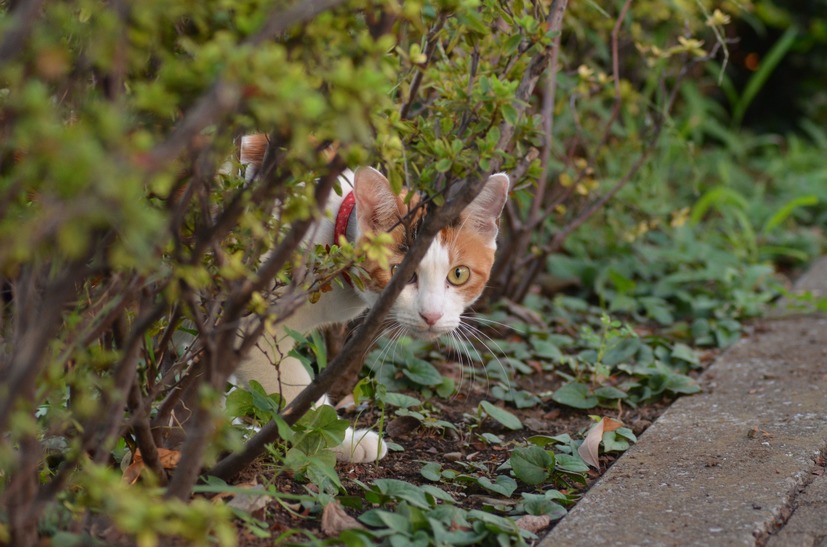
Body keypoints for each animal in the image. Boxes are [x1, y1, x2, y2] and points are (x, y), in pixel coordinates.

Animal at [230, 133, 508, 462]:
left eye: (459, 274)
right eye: (399, 271)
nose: (431, 316)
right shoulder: (250, 327)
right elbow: (295, 392)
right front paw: (341, 439)